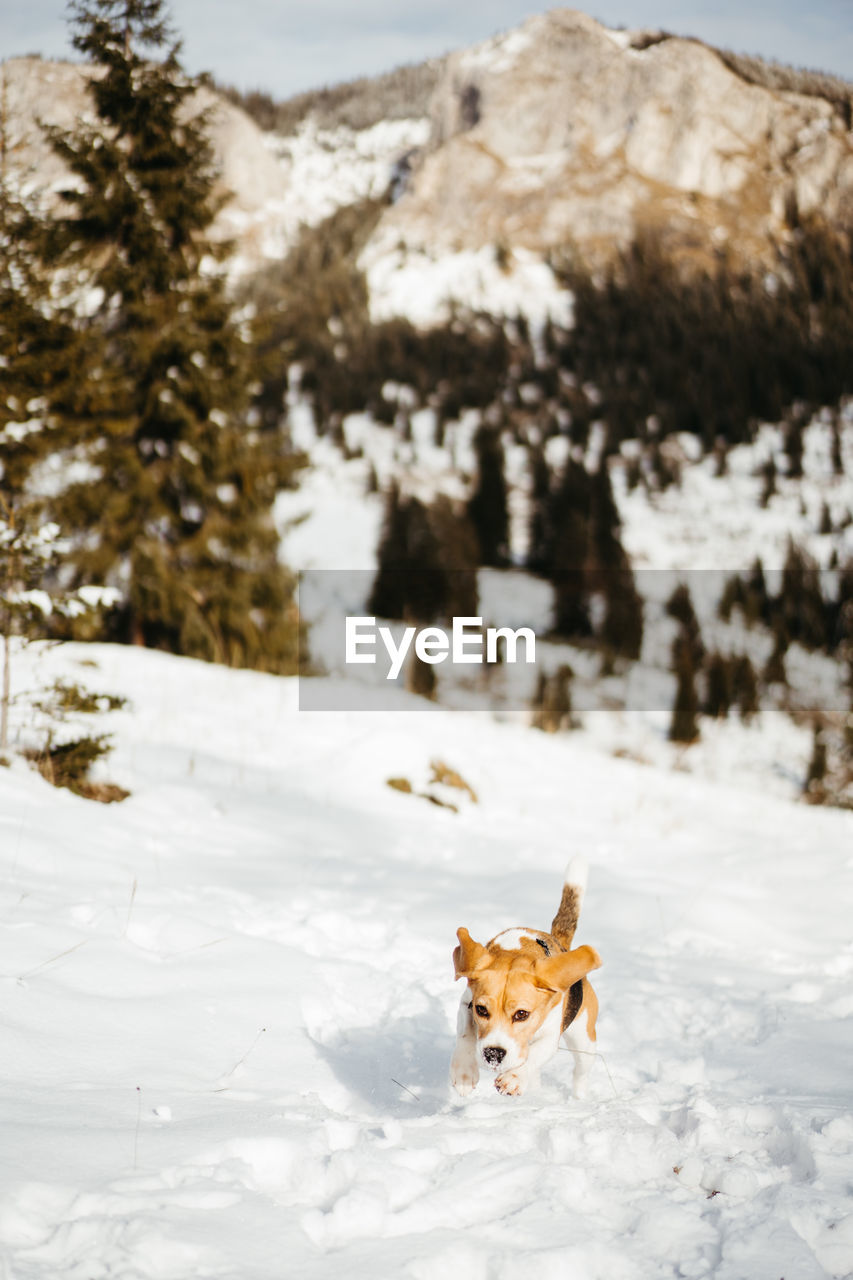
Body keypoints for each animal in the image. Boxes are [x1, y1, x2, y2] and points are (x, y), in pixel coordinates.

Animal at [450, 855, 596, 1095]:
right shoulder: (466, 1003)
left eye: (521, 1014)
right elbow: (465, 1034)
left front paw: (514, 1078)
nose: (493, 1054)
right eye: (481, 1010)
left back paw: (579, 1097)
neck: (518, 950)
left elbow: (535, 1055)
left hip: (584, 1039)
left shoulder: (550, 1035)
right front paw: (464, 1072)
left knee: (581, 1073)